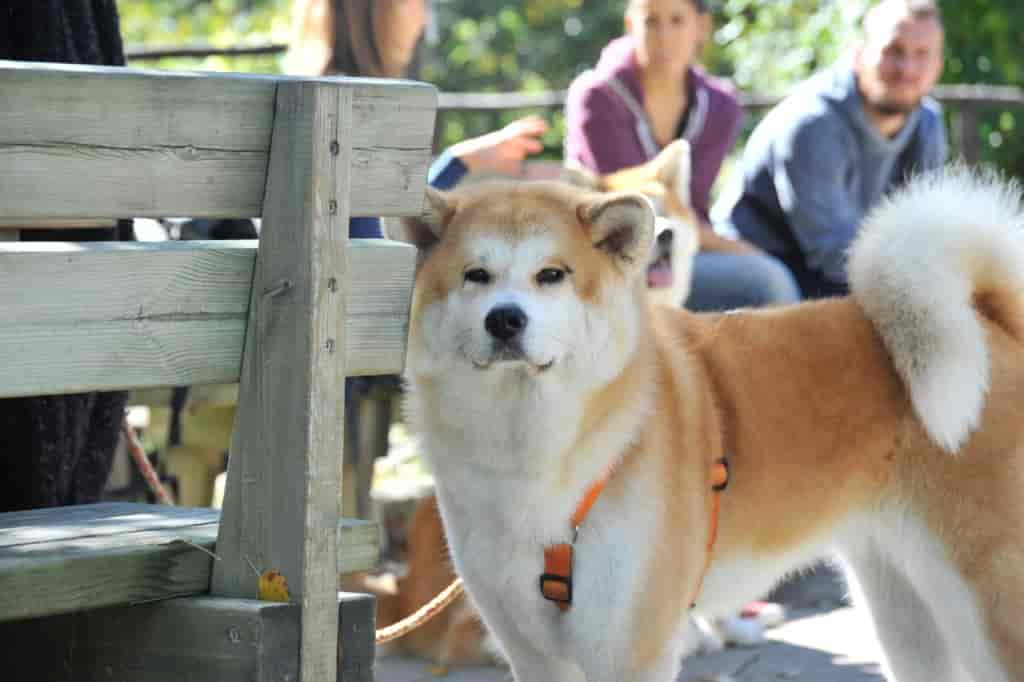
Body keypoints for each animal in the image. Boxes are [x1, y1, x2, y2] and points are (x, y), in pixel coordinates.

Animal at [385, 165, 1024, 679]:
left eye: (552, 275)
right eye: (475, 275)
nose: (505, 320)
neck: (532, 457)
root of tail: (993, 328)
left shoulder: (629, 649)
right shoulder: (533, 651)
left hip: (987, 604)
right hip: (901, 602)